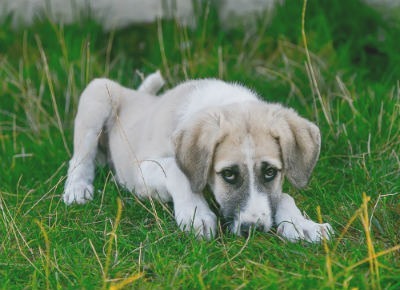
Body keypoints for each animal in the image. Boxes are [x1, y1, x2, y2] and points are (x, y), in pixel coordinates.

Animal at [64, 71, 332, 241]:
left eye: (270, 172)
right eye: (228, 174)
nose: (253, 229)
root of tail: (136, 94)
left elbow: (284, 196)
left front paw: (302, 224)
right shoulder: (142, 168)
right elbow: (177, 171)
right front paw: (196, 214)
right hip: (99, 92)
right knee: (80, 157)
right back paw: (77, 188)